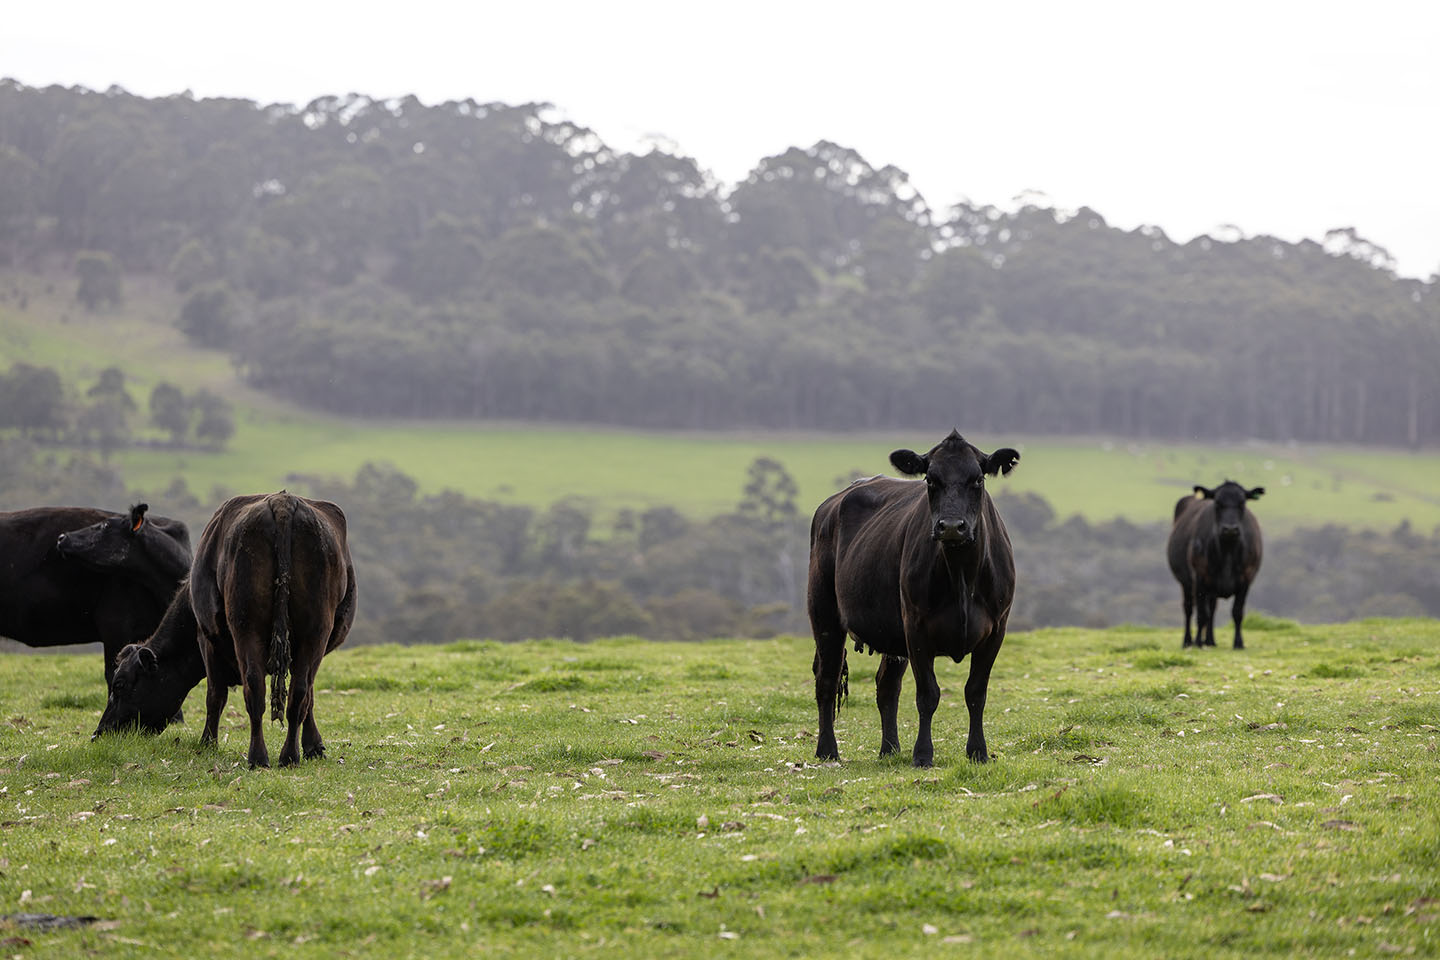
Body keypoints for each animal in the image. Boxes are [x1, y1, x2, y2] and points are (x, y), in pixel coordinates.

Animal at [95, 492, 356, 768]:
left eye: (119, 685)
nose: (99, 733)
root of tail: (282, 501)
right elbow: (311, 697)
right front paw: (314, 746)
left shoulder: (206, 641)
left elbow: (214, 696)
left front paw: (207, 743)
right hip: (314, 630)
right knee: (298, 692)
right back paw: (288, 756)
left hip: (247, 625)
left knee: (255, 687)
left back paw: (258, 757)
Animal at [807, 430, 1020, 767]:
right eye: (930, 480)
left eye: (977, 479)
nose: (951, 527)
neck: (961, 574)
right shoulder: (916, 627)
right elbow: (927, 695)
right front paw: (922, 754)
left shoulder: (996, 628)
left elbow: (976, 692)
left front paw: (978, 752)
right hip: (824, 612)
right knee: (827, 678)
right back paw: (827, 750)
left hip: (891, 634)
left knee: (886, 686)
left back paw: (889, 749)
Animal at [1167, 481, 1264, 649]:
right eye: (1218, 503)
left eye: (1242, 503)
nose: (1230, 529)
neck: (1228, 551)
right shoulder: (1199, 577)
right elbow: (1201, 614)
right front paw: (1198, 642)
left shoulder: (1246, 579)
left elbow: (1237, 612)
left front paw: (1238, 643)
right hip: (1186, 583)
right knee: (1189, 608)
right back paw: (1188, 641)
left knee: (1212, 609)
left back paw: (1210, 641)